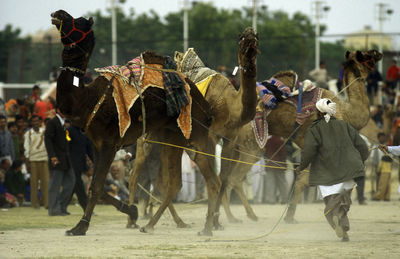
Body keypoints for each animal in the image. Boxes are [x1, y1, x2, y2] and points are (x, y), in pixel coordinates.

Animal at [50, 9, 225, 238]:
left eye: (78, 22)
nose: (58, 13)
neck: (87, 100)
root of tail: (204, 103)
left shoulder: (109, 143)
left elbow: (96, 186)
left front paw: (80, 226)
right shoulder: (97, 144)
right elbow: (99, 186)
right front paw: (132, 212)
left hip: (194, 134)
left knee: (210, 180)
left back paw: (206, 228)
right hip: (172, 137)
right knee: (175, 183)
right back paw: (150, 225)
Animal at [214, 49, 382, 224]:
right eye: (365, 56)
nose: (378, 54)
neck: (346, 112)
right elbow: (306, 180)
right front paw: (290, 216)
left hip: (235, 146)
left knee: (224, 178)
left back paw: (230, 217)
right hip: (251, 145)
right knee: (234, 178)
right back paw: (249, 215)